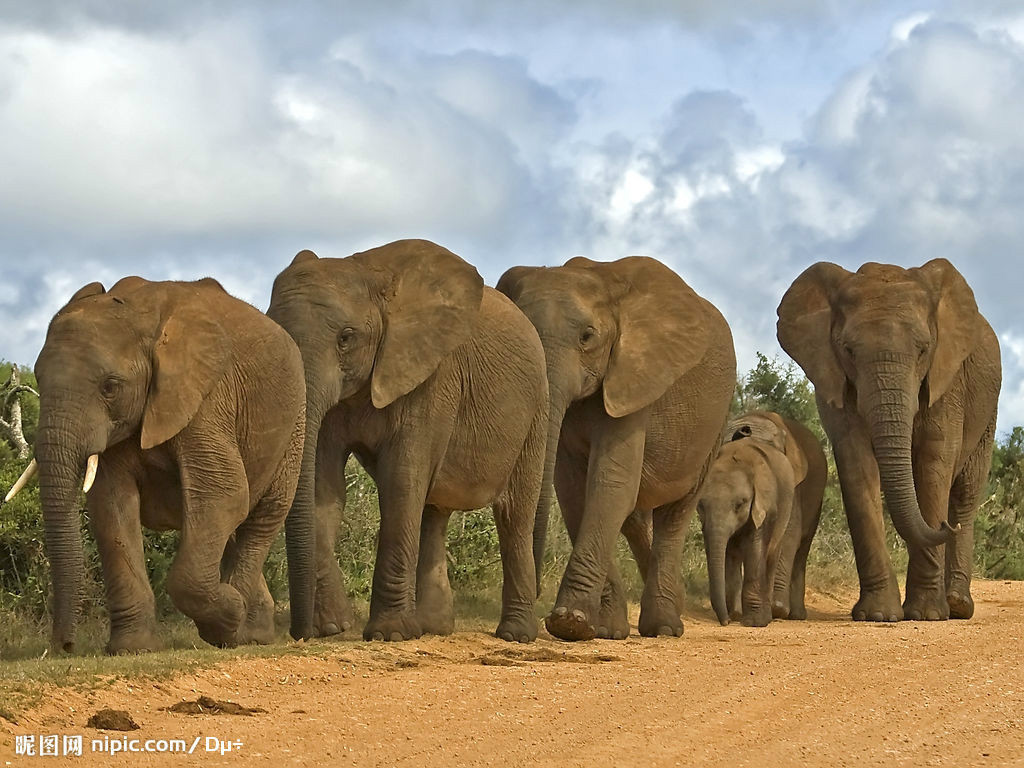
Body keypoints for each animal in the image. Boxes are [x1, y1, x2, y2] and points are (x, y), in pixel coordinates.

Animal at [7, 278, 303, 655]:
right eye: (39, 381)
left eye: (110, 387)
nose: (66, 646)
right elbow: (111, 505)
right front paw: (132, 648)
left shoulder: (207, 397)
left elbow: (223, 492)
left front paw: (226, 622)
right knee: (234, 529)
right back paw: (254, 631)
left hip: (295, 425)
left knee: (262, 517)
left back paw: (242, 628)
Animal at [268, 239, 548, 643]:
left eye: (346, 338)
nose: (301, 634)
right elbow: (325, 487)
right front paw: (334, 626)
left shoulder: (432, 377)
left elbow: (402, 481)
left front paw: (389, 635)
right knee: (433, 510)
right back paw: (432, 628)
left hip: (536, 411)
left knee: (514, 516)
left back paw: (515, 635)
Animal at [497, 256, 733, 638]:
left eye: (587, 337)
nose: (536, 592)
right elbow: (576, 493)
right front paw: (601, 629)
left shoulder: (635, 379)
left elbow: (610, 484)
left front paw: (569, 623)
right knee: (637, 518)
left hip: (715, 424)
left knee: (675, 514)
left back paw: (664, 627)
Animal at [778, 262, 995, 622]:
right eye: (849, 351)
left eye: (923, 350)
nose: (945, 525)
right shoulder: (834, 378)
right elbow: (856, 465)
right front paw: (878, 616)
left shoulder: (947, 380)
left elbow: (934, 462)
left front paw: (926, 615)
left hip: (987, 415)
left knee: (965, 492)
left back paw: (957, 605)